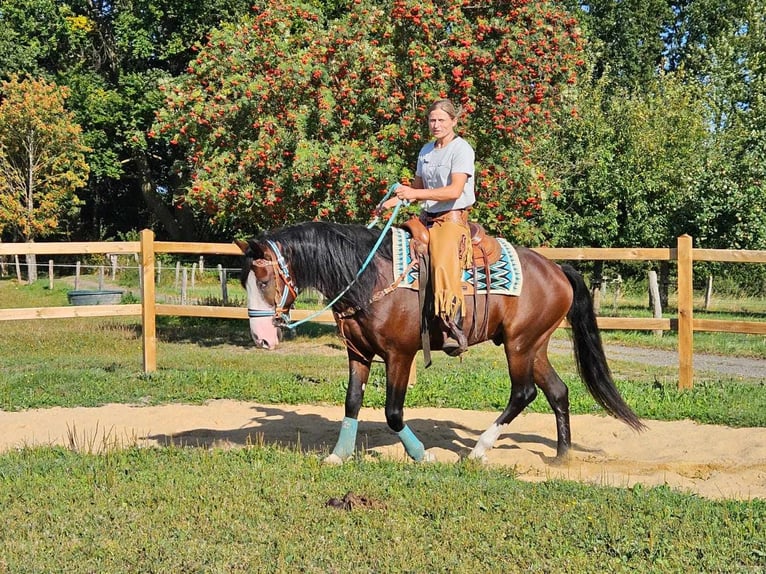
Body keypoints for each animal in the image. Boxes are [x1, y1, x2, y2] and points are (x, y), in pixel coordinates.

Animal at [237, 223, 644, 466]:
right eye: (245, 281)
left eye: (265, 280)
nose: (261, 338)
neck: (369, 277)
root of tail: (558, 269)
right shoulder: (358, 353)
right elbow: (352, 402)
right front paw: (339, 454)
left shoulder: (400, 355)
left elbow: (393, 412)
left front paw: (420, 455)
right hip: (535, 345)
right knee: (557, 391)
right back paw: (561, 456)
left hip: (519, 345)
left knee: (523, 392)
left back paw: (479, 450)